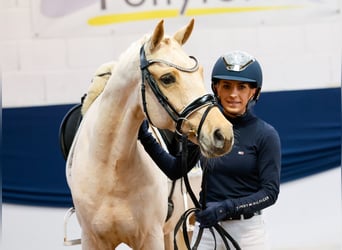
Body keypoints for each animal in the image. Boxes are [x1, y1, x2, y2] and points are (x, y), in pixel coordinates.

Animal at [65, 18, 234, 249]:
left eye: (200, 73)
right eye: (167, 78)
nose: (222, 133)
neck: (110, 166)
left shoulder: (151, 237)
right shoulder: (91, 239)